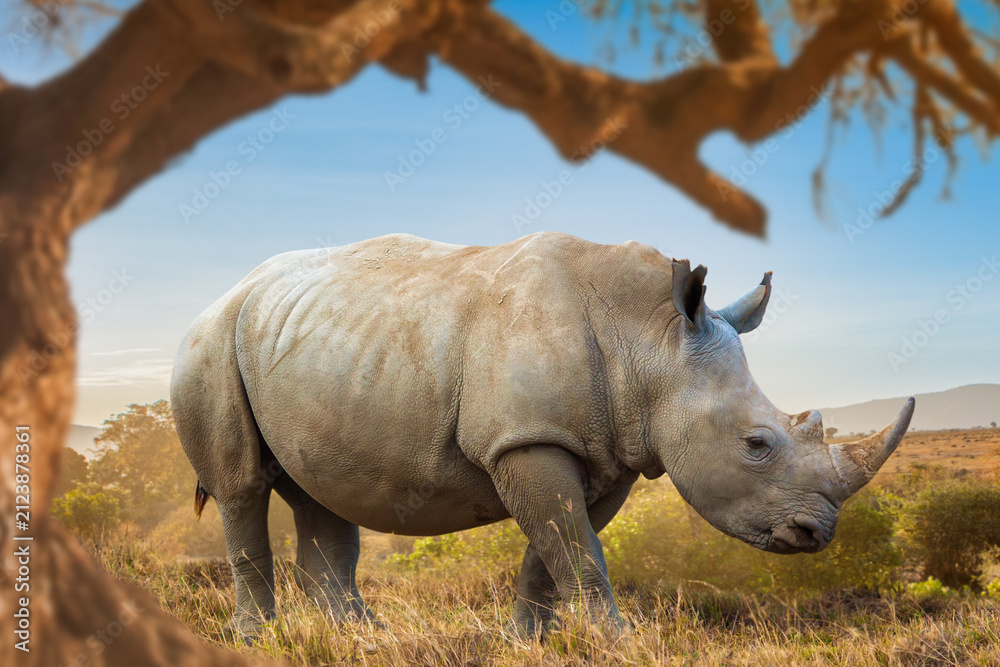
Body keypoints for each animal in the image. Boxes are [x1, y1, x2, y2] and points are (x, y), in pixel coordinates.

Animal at [171, 232, 914, 638]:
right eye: (756, 445)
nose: (814, 533)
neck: (651, 339)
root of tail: (228, 291)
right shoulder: (528, 439)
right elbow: (576, 548)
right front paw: (618, 640)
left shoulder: (607, 450)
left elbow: (557, 549)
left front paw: (530, 641)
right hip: (207, 344)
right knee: (241, 488)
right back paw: (257, 637)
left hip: (310, 350)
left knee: (322, 497)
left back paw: (361, 637)